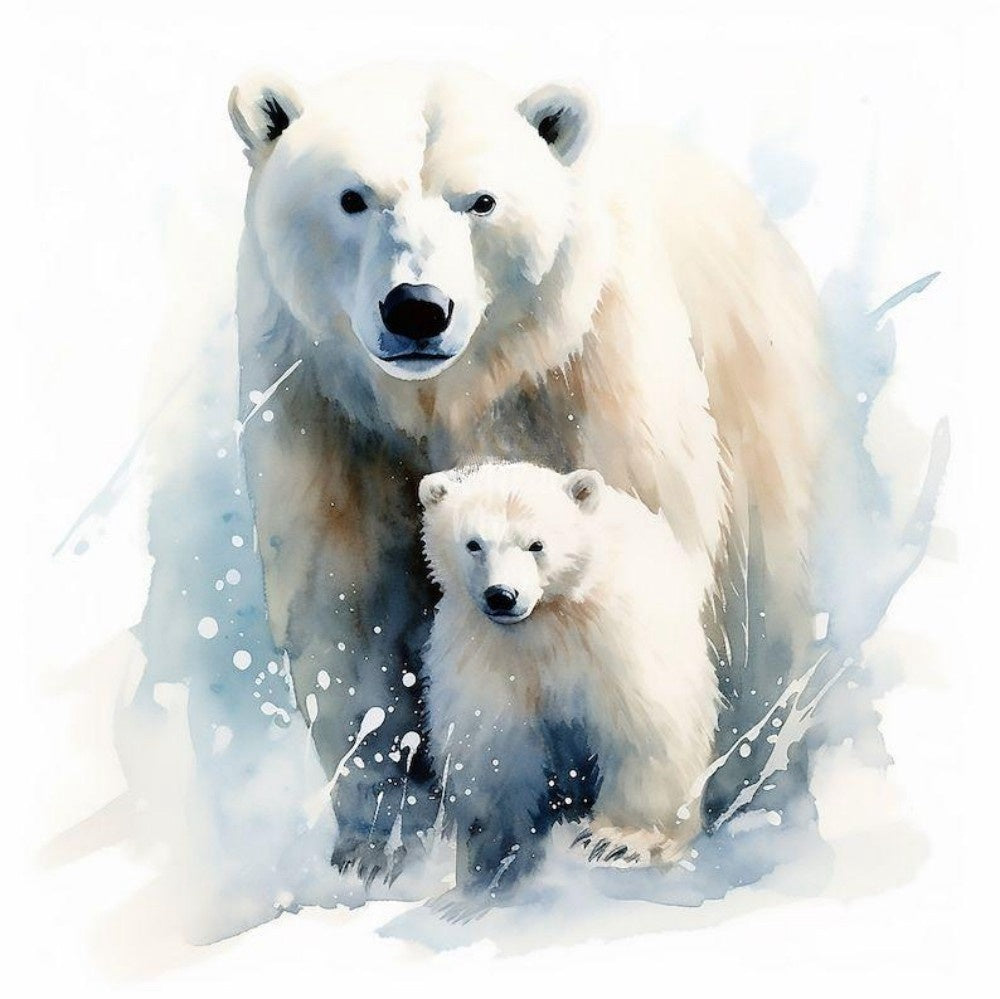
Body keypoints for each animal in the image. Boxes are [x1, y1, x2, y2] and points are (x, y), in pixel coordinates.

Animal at [419, 461, 720, 898]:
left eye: (536, 545)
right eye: (474, 544)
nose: (501, 595)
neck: (549, 619)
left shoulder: (615, 638)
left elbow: (644, 729)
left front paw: (619, 841)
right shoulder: (488, 652)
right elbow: (493, 745)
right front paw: (496, 851)